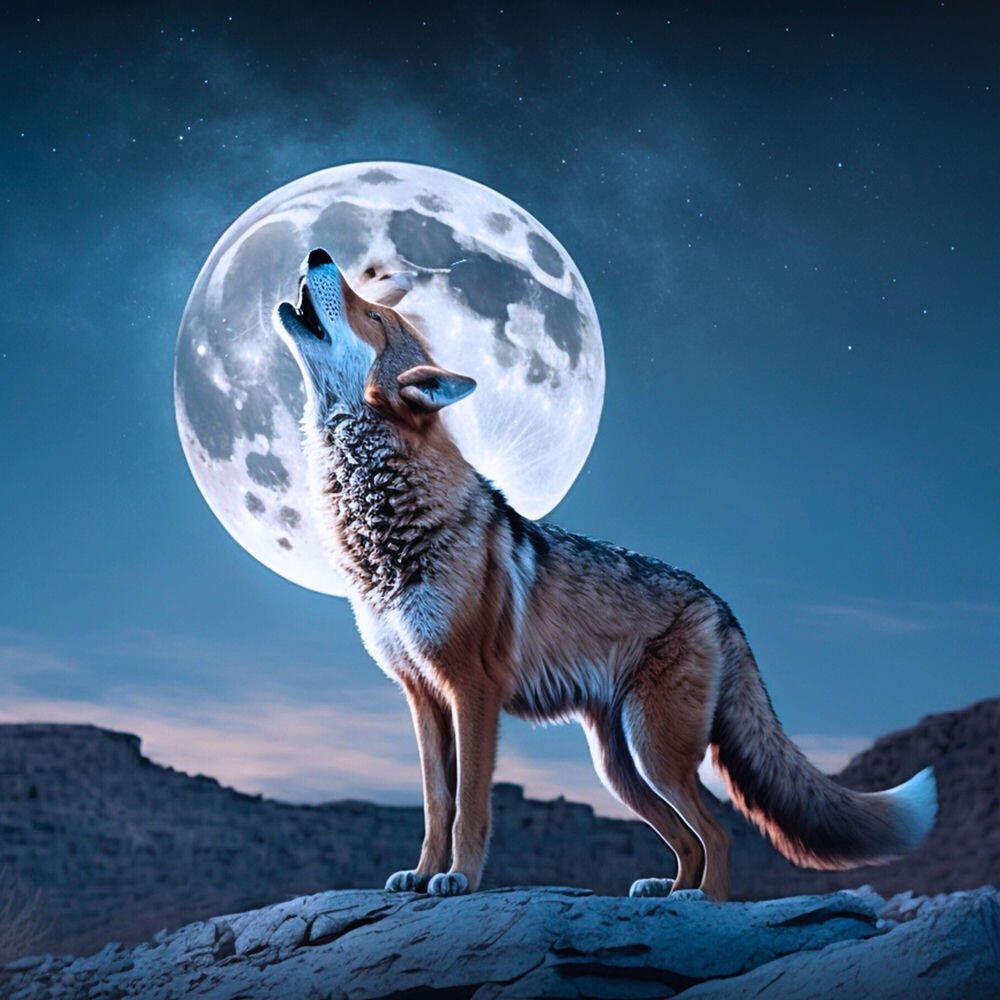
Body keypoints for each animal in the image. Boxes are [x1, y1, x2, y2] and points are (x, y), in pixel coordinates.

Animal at [273, 248, 937, 900]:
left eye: (373, 316)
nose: (318, 252)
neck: (380, 528)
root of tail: (720, 603)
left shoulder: (471, 688)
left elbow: (470, 809)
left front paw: (459, 878)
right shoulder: (421, 694)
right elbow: (437, 804)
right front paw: (420, 875)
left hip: (654, 750)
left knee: (719, 834)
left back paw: (700, 901)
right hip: (619, 766)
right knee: (689, 838)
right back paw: (668, 889)